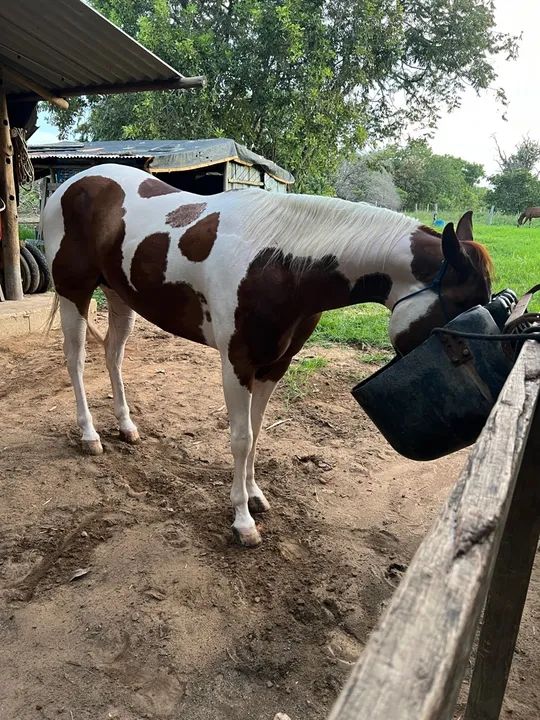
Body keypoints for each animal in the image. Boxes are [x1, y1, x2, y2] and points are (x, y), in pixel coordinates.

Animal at [43, 164, 493, 547]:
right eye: (461, 308)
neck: (281, 265)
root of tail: (69, 185)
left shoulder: (274, 365)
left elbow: (257, 433)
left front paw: (254, 495)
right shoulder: (236, 364)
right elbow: (240, 439)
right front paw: (242, 521)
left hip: (120, 296)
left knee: (113, 356)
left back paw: (126, 426)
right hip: (75, 293)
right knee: (75, 360)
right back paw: (90, 435)